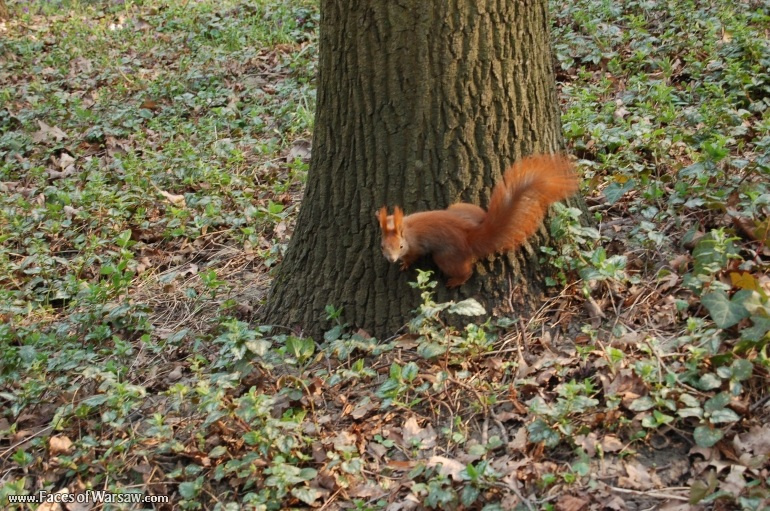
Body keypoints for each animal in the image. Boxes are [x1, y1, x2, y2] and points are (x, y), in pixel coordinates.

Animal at [377, 154, 579, 287]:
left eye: (401, 246)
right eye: (382, 246)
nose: (392, 259)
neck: (405, 228)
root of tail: (468, 237)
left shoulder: (416, 246)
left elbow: (413, 255)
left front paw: (405, 263)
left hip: (446, 257)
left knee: (465, 270)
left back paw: (456, 281)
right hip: (459, 208)